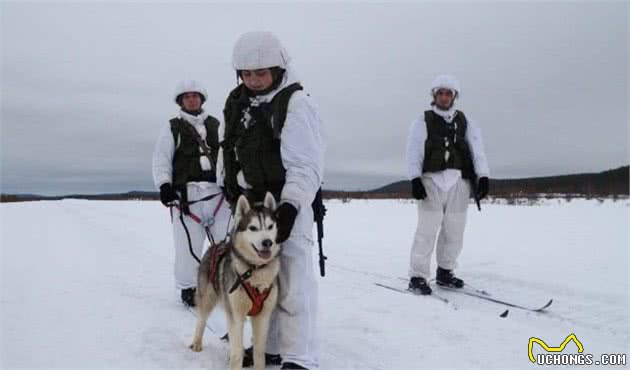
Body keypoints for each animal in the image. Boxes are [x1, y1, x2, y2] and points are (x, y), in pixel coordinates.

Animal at [189, 192, 282, 370]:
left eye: (270, 226)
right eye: (253, 228)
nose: (267, 242)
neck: (254, 270)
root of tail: (216, 245)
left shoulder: (263, 317)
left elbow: (259, 353)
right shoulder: (235, 315)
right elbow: (237, 352)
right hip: (207, 298)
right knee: (201, 319)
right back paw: (196, 343)